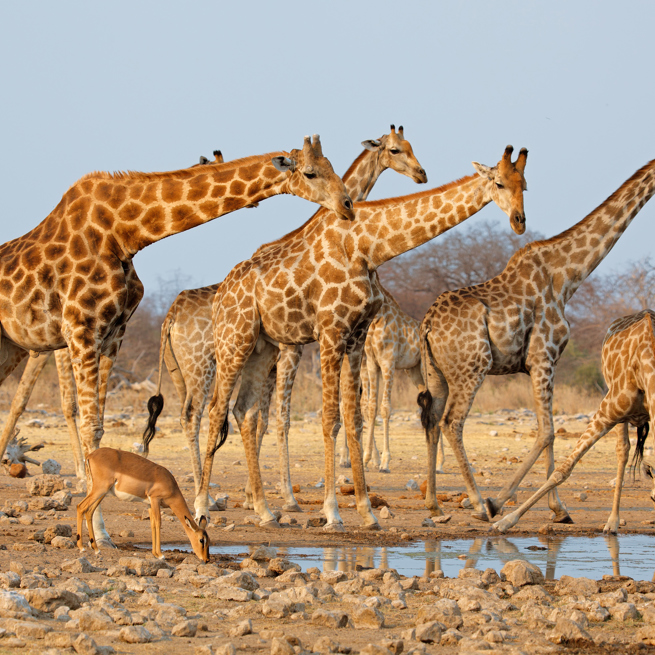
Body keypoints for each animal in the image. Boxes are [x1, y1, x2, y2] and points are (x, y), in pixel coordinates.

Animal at [197, 145, 532, 532]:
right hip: (234, 340)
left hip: (263, 347)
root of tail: (221, 293)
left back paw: (265, 510)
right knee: (218, 409)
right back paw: (203, 507)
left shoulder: (356, 338)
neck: (366, 247)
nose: (519, 221)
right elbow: (330, 418)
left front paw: (366, 511)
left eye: (524, 183)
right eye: (498, 182)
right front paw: (332, 511)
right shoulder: (330, 333)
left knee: (245, 412)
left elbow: (354, 417)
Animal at [494, 310, 655, 536]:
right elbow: (563, 470)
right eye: (652, 498)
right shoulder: (604, 413)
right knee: (622, 450)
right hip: (615, 405)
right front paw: (505, 521)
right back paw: (612, 521)